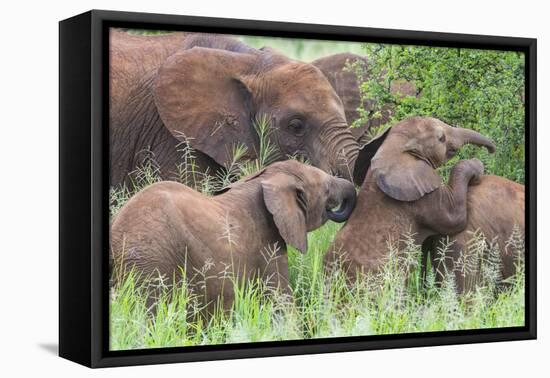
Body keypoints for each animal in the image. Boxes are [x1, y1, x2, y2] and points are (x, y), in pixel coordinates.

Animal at [326, 116, 498, 282]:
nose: (492, 150)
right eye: (441, 138)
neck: (394, 147)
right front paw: (477, 165)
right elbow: (455, 219)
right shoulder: (422, 198)